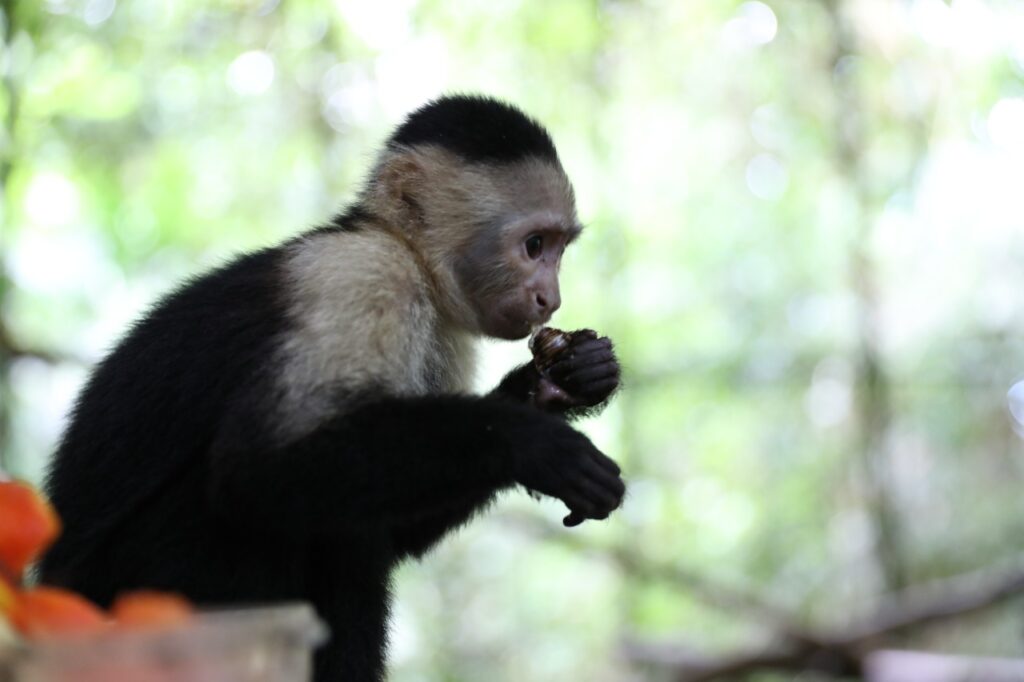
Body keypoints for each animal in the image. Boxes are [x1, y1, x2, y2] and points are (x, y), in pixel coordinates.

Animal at [39, 95, 625, 682]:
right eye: (533, 246)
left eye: (559, 249)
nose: (551, 298)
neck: (404, 252)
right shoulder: (359, 276)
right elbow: (258, 473)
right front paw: (534, 443)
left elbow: (400, 533)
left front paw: (561, 384)